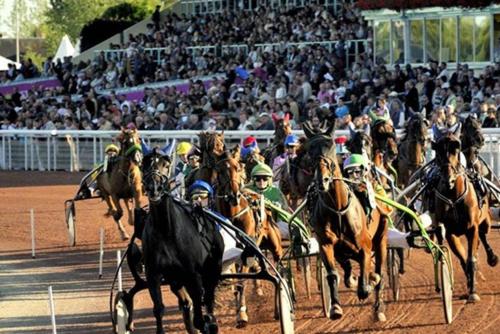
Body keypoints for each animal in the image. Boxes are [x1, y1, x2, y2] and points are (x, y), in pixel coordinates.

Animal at [138, 148, 222, 334]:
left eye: (166, 164)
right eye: (144, 164)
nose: (154, 188)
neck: (166, 230)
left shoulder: (193, 274)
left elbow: (200, 317)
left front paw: (207, 323)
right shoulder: (153, 275)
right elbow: (158, 309)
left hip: (213, 268)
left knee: (209, 297)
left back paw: (211, 320)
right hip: (175, 279)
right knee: (186, 302)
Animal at [213, 147, 284, 328]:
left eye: (238, 168)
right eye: (220, 170)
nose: (234, 195)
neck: (233, 217)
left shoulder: (246, 253)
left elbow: (240, 283)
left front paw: (242, 315)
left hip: (276, 247)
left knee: (278, 273)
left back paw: (278, 310)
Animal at [304, 124, 390, 320]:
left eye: (330, 146)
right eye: (310, 150)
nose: (322, 180)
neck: (338, 209)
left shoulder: (365, 246)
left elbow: (366, 285)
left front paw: (369, 282)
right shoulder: (327, 245)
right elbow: (334, 273)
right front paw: (335, 307)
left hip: (381, 237)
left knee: (380, 270)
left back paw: (379, 308)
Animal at [432, 124, 498, 302]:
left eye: (456, 148)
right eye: (437, 150)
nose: (448, 179)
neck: (454, 197)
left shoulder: (471, 228)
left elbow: (471, 259)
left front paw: (473, 292)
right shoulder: (449, 232)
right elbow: (462, 259)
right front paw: (469, 283)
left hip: (485, 221)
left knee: (483, 235)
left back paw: (492, 258)